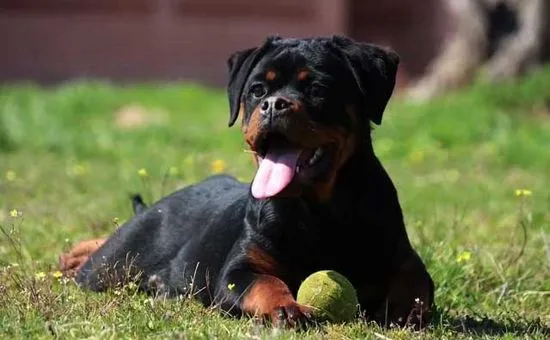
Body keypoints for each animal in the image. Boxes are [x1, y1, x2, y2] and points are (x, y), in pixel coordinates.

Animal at [59, 35, 436, 328]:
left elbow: (419, 286)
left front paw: (403, 311)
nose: (273, 104)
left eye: (317, 88)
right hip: (114, 264)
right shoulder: (238, 270)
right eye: (257, 90)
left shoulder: (403, 257)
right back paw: (72, 258)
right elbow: (264, 283)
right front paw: (286, 307)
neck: (315, 210)